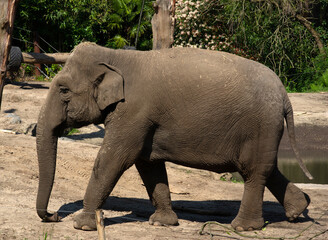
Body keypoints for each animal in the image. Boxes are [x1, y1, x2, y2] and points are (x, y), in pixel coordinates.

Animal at [36, 42, 312, 232]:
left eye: (63, 90)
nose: (53, 216)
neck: (116, 56)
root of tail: (284, 95)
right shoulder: (144, 120)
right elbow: (148, 164)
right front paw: (162, 223)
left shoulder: (133, 112)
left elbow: (114, 159)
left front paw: (82, 225)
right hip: (265, 130)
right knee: (267, 168)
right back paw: (298, 210)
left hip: (260, 126)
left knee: (253, 172)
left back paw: (243, 227)